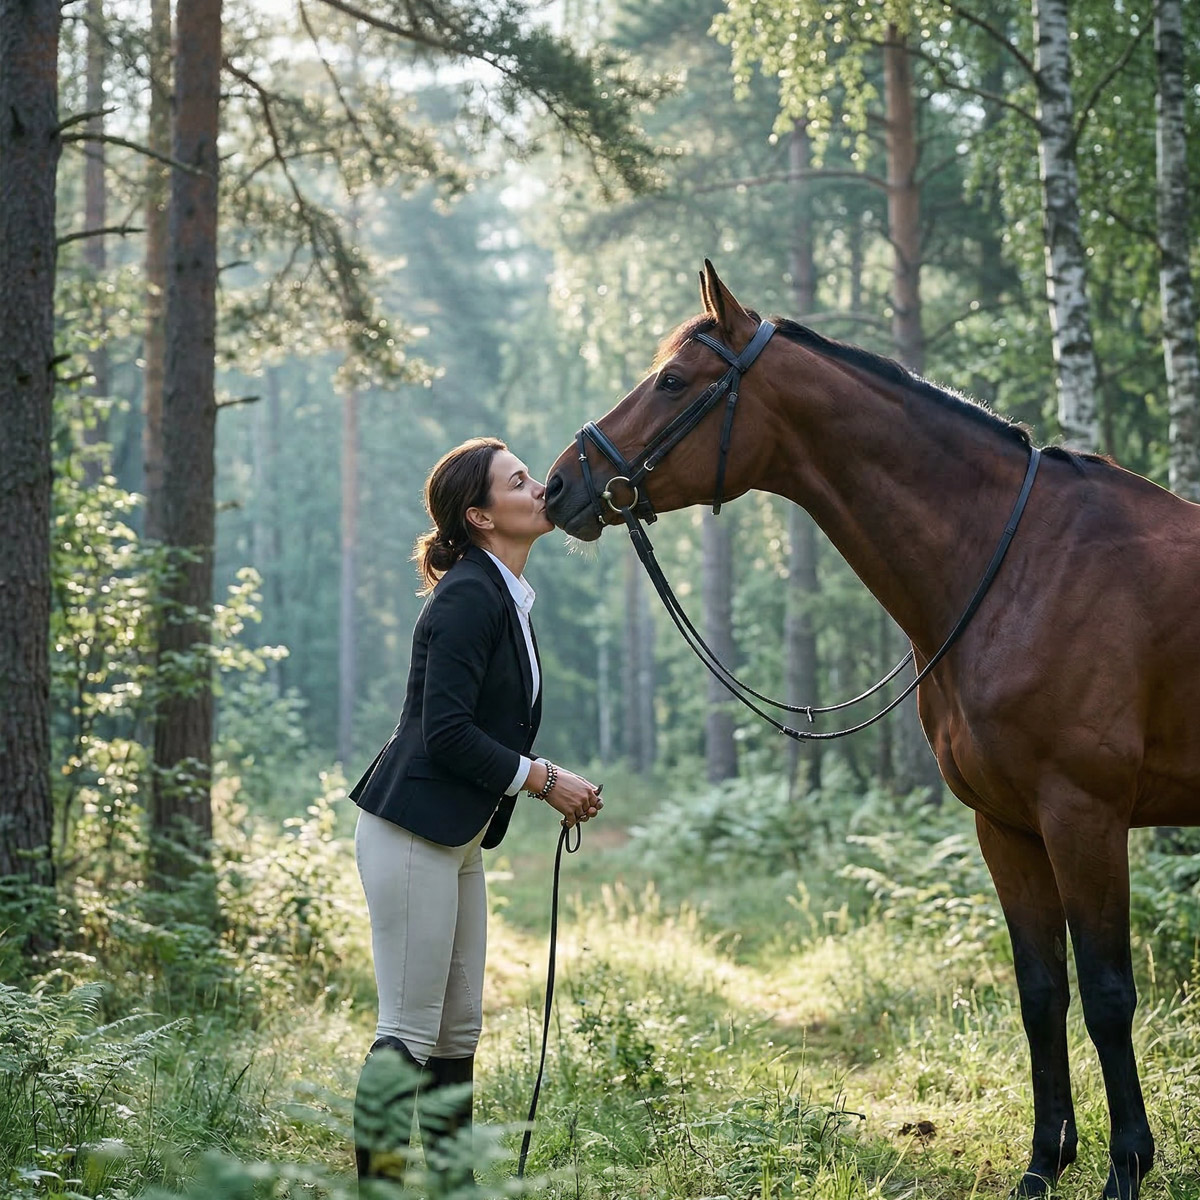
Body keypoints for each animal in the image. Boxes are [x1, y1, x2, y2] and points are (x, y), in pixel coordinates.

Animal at [544, 261, 1200, 1200]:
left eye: (672, 380)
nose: (559, 485)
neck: (1020, 565)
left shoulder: (1086, 816)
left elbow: (1109, 995)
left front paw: (1126, 1169)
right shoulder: (1006, 826)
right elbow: (1041, 992)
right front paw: (1043, 1165)